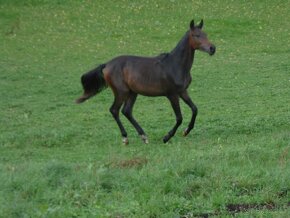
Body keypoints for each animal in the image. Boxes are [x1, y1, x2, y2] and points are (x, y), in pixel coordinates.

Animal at [76, 19, 216, 145]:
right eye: (196, 35)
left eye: (206, 34)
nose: (212, 48)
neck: (175, 65)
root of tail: (106, 65)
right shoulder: (172, 94)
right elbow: (179, 118)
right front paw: (166, 137)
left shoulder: (182, 91)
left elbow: (195, 109)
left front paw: (186, 131)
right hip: (121, 92)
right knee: (114, 110)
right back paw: (125, 138)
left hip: (132, 92)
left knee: (126, 111)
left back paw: (143, 136)